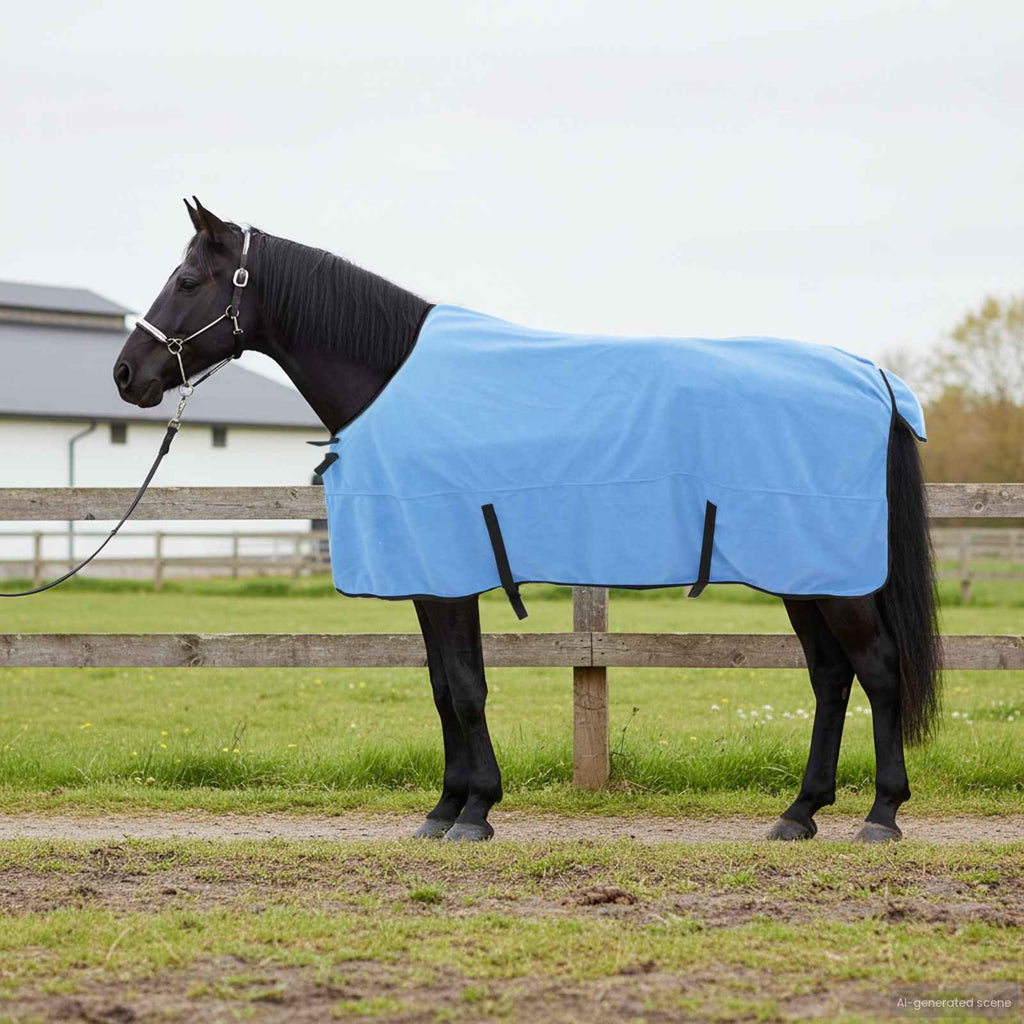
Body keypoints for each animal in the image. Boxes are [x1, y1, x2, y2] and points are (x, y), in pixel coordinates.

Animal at [113, 198, 941, 843]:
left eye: (187, 280)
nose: (126, 374)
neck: (397, 380)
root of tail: (871, 377)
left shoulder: (447, 575)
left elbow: (465, 687)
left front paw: (474, 811)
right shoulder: (433, 578)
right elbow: (445, 685)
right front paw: (447, 807)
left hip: (829, 576)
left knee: (877, 668)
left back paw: (881, 814)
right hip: (804, 573)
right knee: (831, 676)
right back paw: (800, 813)